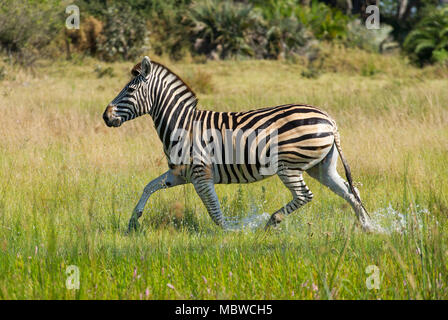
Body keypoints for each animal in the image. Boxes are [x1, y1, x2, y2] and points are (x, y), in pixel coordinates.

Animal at [103, 56, 372, 232]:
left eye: (130, 90)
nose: (106, 116)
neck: (182, 123)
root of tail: (330, 120)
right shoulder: (179, 173)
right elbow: (149, 187)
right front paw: (133, 220)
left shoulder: (201, 174)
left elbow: (214, 211)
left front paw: (235, 231)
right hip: (321, 166)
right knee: (350, 192)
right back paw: (369, 227)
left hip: (289, 165)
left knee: (305, 195)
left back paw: (271, 221)